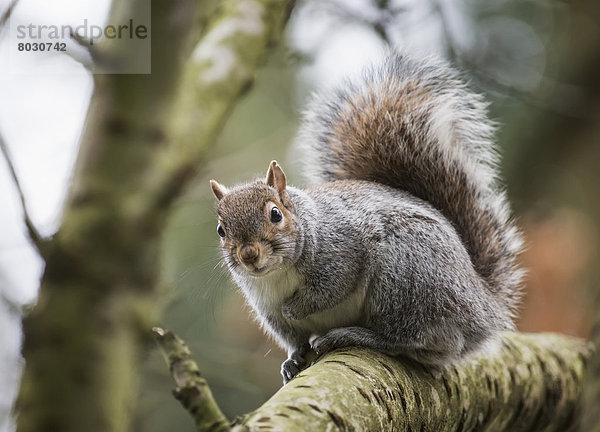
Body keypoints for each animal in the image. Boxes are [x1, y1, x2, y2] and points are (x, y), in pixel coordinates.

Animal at [209, 53, 524, 384]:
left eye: (275, 214)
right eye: (220, 230)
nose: (248, 255)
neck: (278, 274)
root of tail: (482, 306)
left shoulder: (342, 250)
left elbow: (331, 288)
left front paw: (297, 308)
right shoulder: (267, 308)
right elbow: (294, 338)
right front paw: (292, 359)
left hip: (405, 275)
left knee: (402, 336)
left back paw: (355, 335)